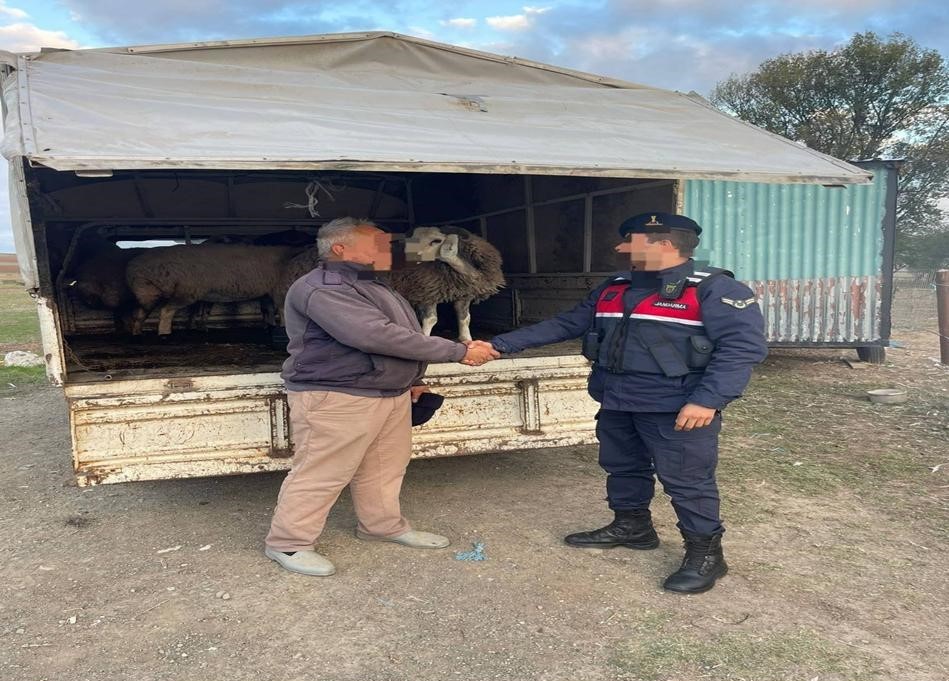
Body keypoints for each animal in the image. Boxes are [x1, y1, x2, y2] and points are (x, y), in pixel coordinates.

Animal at [125, 243, 304, 336]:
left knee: (141, 313)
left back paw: (137, 331)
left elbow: (272, 310)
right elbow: (282, 310)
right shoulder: (279, 288)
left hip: (154, 296)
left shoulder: (271, 291)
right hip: (184, 292)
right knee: (165, 310)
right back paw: (163, 333)